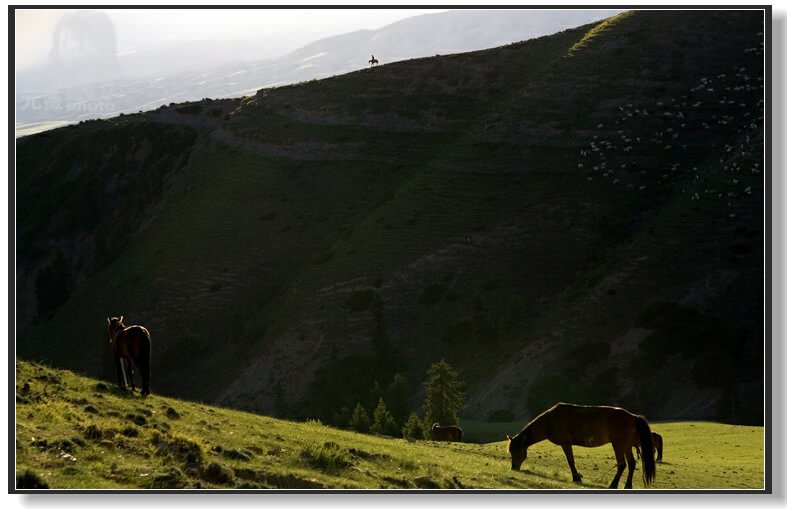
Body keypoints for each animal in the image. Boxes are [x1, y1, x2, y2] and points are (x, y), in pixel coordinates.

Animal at [508, 400, 656, 488]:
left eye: (517, 451)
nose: (513, 468)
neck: (550, 421)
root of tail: (633, 417)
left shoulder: (566, 444)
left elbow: (570, 461)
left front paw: (576, 478)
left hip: (619, 445)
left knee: (622, 465)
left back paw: (613, 485)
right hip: (626, 446)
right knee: (631, 464)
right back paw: (627, 486)